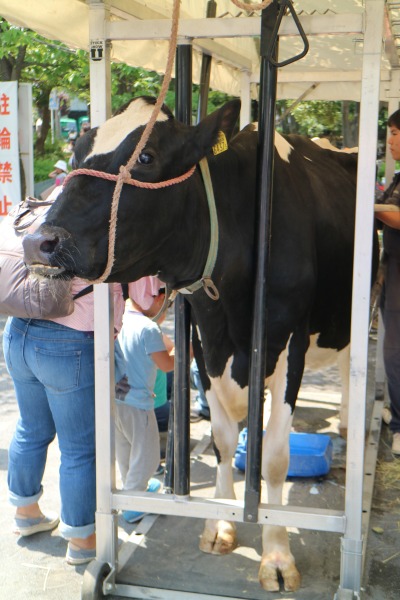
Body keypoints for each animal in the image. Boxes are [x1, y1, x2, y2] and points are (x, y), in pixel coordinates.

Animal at [22, 97, 378, 592]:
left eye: (146, 156)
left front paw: (278, 555)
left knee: (351, 366)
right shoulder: (202, 338)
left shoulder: (290, 344)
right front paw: (221, 525)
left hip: (364, 302)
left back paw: (349, 422)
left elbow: (275, 457)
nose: (39, 241)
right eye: (77, 153)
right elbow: (225, 440)